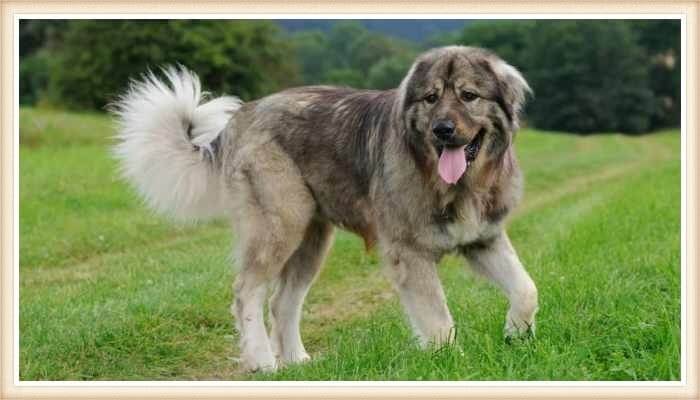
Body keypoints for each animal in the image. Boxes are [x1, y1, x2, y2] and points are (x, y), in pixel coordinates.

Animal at [112, 46, 540, 372]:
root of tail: (241, 118)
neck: (458, 185)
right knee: (247, 291)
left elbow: (526, 288)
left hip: (312, 239)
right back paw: (263, 362)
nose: (443, 130)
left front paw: (516, 333)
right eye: (431, 98)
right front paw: (451, 361)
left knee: (283, 301)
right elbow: (437, 319)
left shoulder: (484, 239)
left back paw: (297, 362)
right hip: (279, 225)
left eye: (469, 95)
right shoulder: (410, 254)